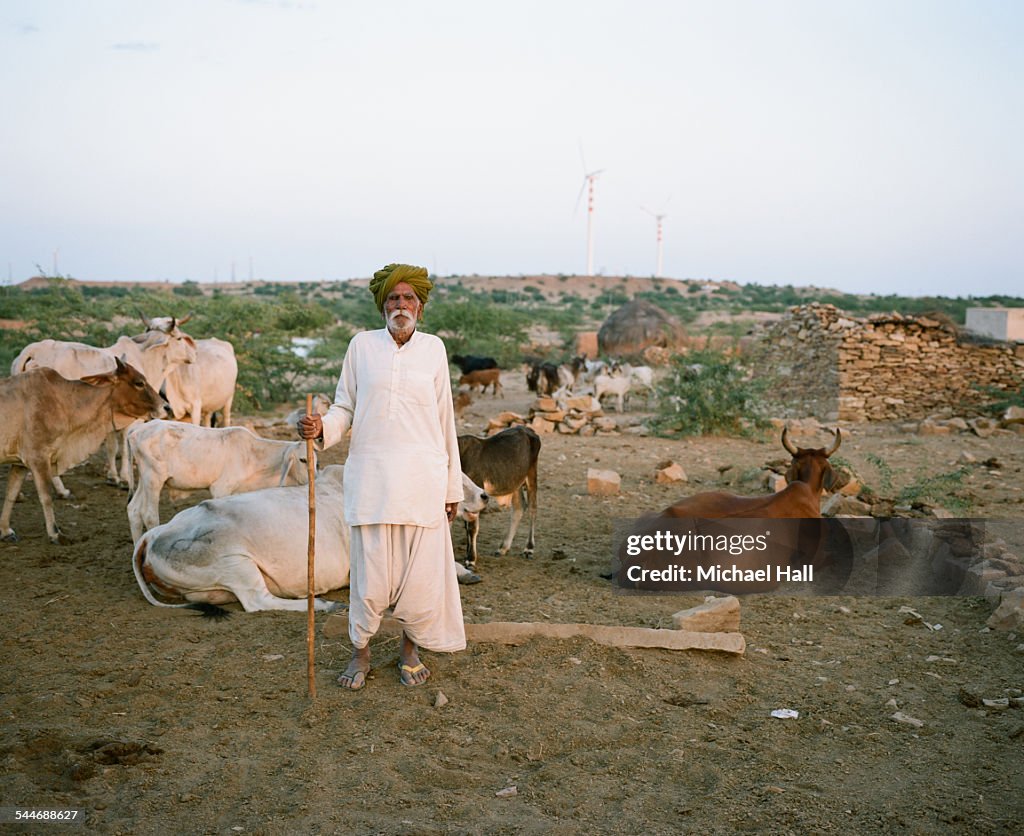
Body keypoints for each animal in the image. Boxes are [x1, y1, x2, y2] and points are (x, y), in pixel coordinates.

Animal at [1, 362, 167, 545]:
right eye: (139, 383)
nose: (165, 406)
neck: (63, 402)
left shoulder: (20, 464)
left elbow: (11, 493)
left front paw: (5, 531)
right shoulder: (38, 457)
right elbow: (46, 497)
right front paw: (55, 534)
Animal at [125, 424, 307, 540]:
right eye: (303, 459)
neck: (252, 455)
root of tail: (136, 430)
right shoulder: (220, 489)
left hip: (143, 479)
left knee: (133, 510)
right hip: (153, 478)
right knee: (149, 515)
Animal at [454, 424, 540, 569]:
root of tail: (528, 430)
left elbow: (472, 527)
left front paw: (471, 560)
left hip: (531, 474)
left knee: (533, 509)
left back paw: (529, 549)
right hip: (514, 482)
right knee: (519, 508)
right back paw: (503, 548)